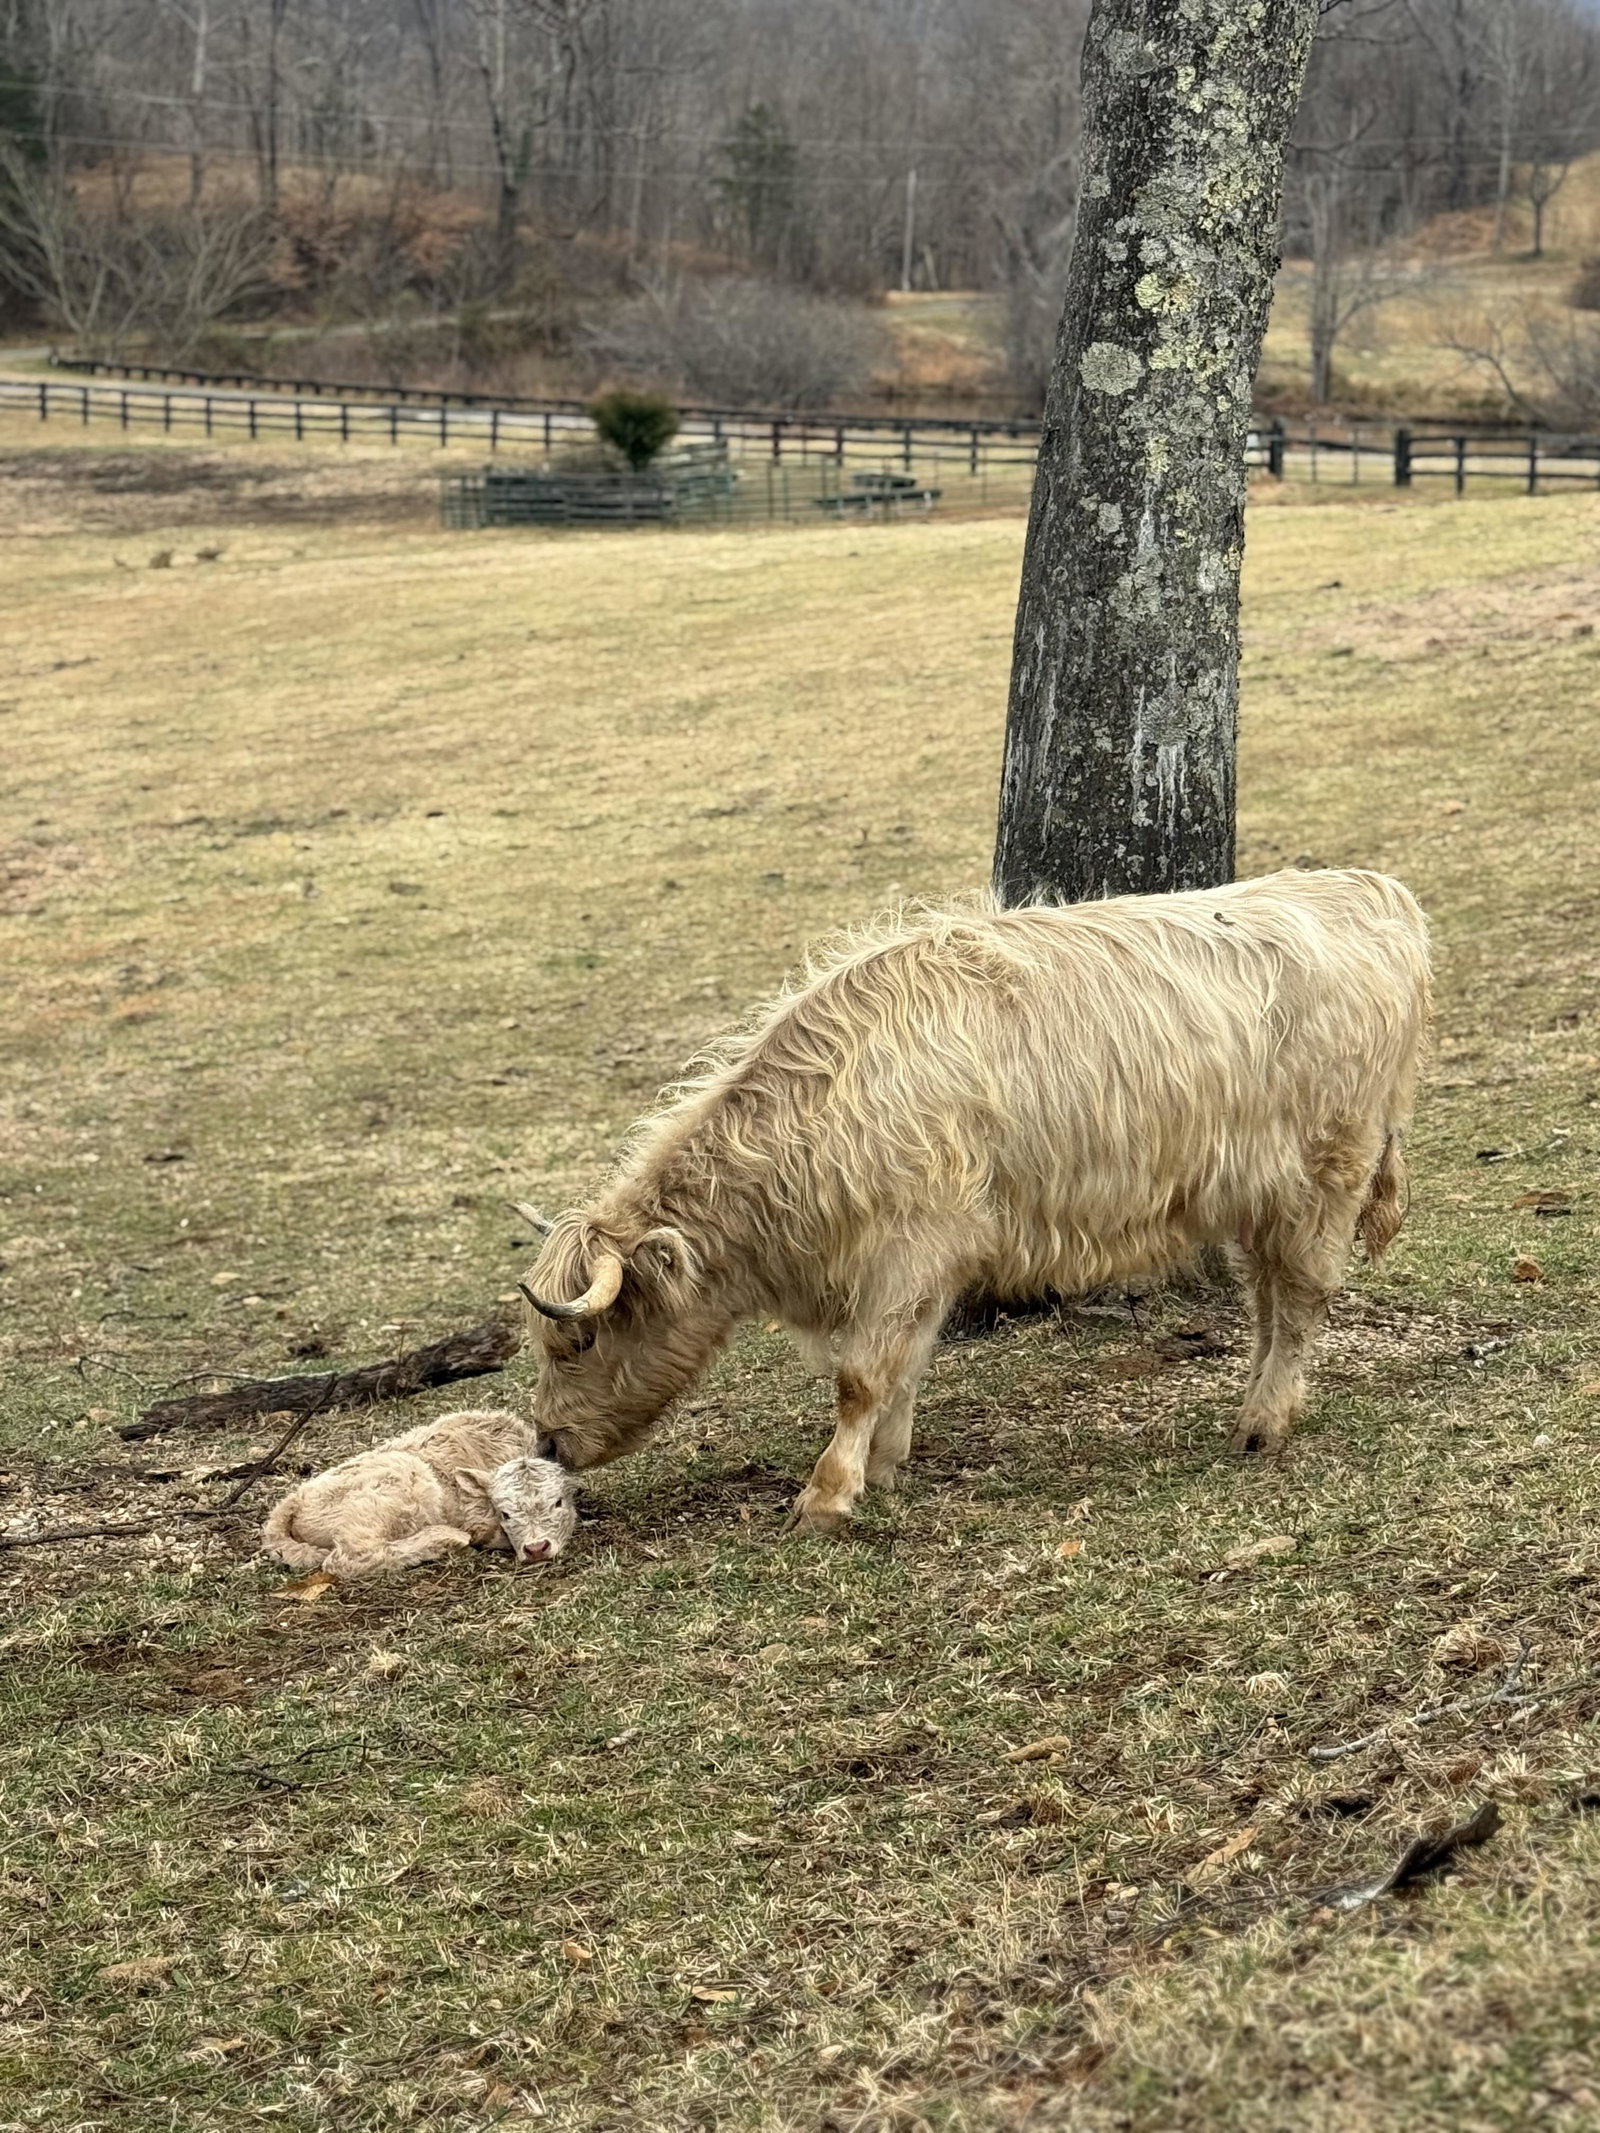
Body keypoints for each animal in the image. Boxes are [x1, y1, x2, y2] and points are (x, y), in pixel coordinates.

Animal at [513, 869, 1430, 1534]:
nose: (547, 1438)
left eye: (582, 1338)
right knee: (1270, 1297)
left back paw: (1264, 1423)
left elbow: (862, 1375)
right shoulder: (927, 1264)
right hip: (1259, 1196)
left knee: (1303, 1297)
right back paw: (1257, 1408)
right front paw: (886, 1463)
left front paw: (827, 1493)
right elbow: (905, 1365)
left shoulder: (907, 1251)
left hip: (1330, 1170)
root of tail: (1371, 890)